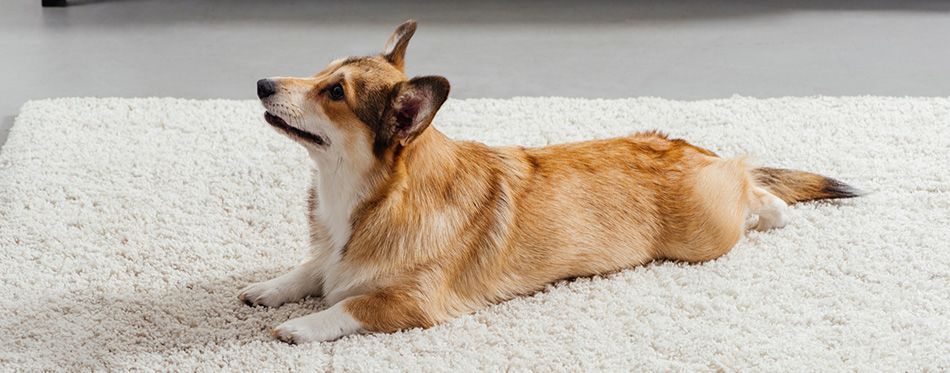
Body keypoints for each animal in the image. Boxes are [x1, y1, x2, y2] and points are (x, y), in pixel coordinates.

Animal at [240, 20, 864, 342]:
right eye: (322, 71)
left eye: (335, 92)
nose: (262, 83)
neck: (356, 196)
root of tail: (685, 147)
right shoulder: (328, 256)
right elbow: (309, 270)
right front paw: (270, 290)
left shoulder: (415, 305)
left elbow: (348, 307)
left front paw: (298, 327)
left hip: (705, 236)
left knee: (748, 175)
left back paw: (772, 210)